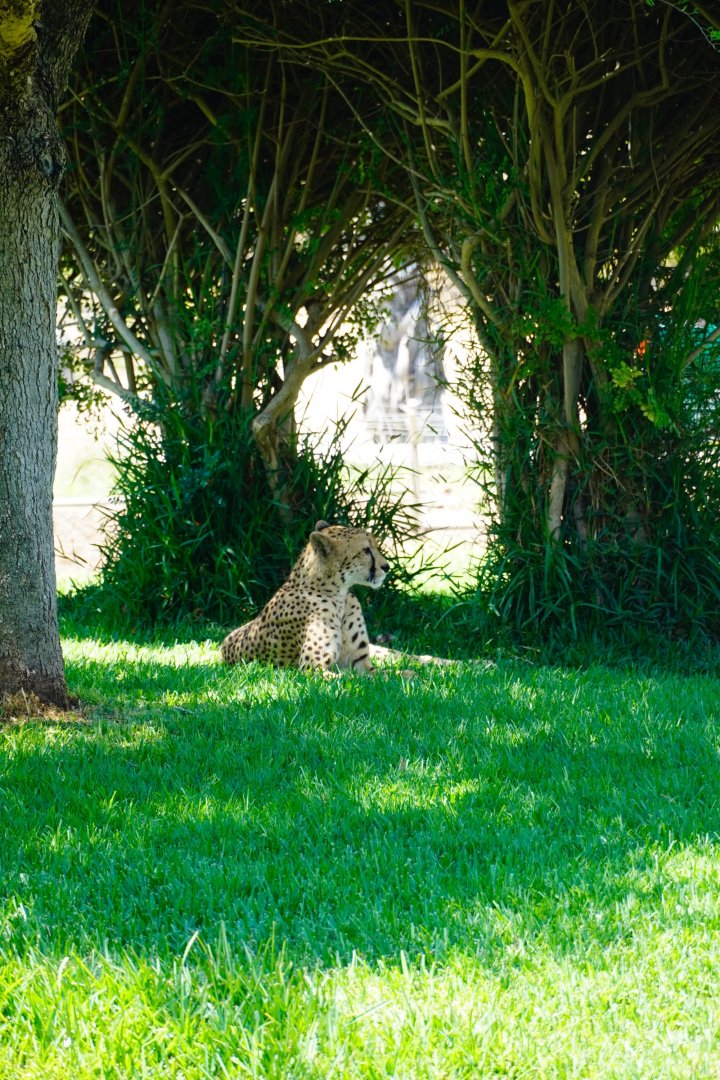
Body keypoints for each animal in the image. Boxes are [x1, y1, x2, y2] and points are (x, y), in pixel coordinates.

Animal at [220, 520, 391, 673]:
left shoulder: (360, 662)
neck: (340, 594)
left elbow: (390, 675)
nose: (387, 567)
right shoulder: (312, 667)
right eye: (366, 550)